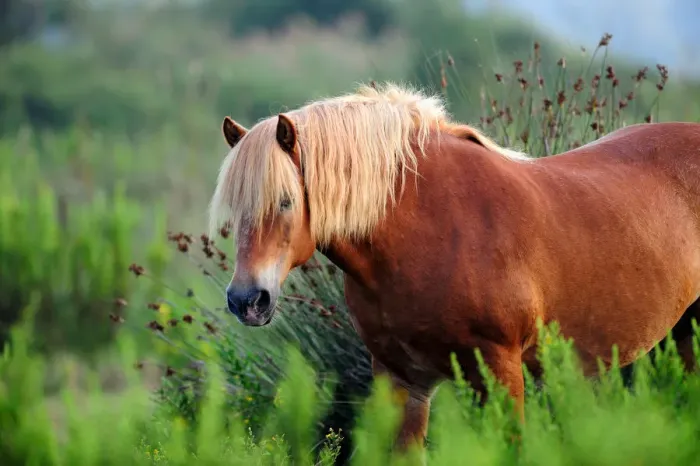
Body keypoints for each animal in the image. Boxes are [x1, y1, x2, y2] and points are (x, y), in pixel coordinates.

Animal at [208, 82, 700, 451]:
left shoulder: (501, 372)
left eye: (285, 201)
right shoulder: (403, 380)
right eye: (233, 208)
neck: (431, 229)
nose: (246, 300)